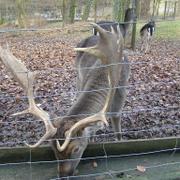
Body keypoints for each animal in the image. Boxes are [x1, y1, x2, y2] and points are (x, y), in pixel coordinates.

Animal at [0, 23, 129, 178]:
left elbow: (118, 132)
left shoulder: (119, 102)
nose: (63, 175)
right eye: (53, 149)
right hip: (78, 76)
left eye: (76, 149)